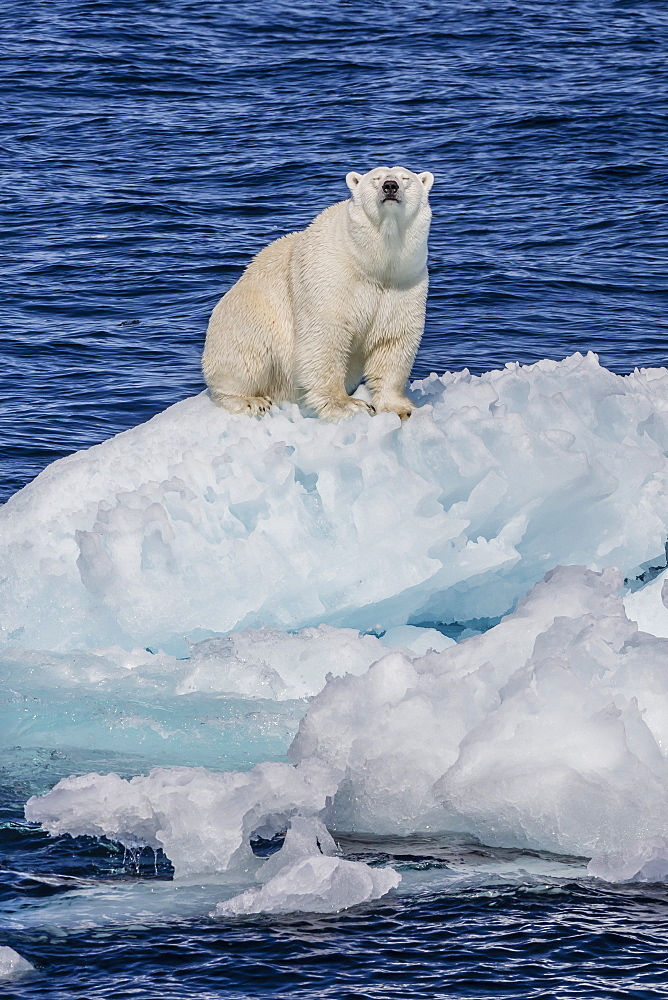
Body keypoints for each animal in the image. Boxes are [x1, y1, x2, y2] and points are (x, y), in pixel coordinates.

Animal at [202, 167, 434, 422]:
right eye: (375, 179)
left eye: (406, 179)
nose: (390, 186)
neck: (372, 263)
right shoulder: (330, 273)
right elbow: (325, 336)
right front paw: (349, 405)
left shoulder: (404, 281)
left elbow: (393, 340)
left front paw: (403, 408)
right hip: (245, 314)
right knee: (247, 355)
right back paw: (251, 401)